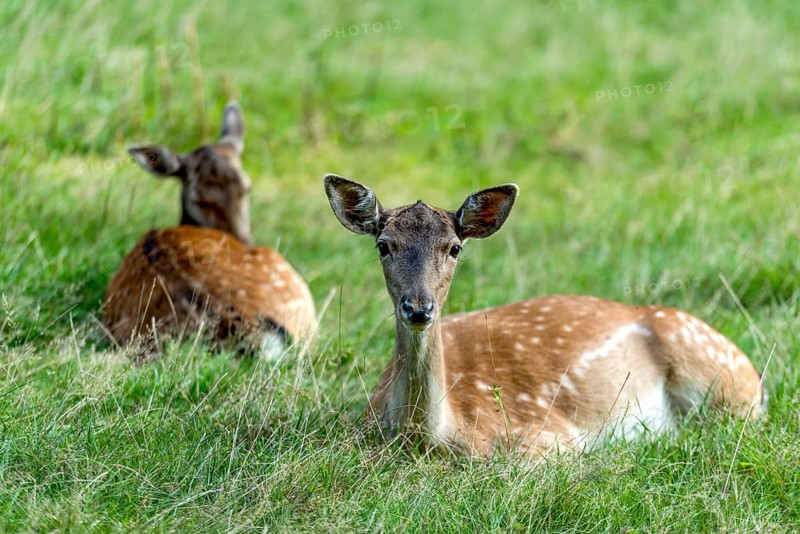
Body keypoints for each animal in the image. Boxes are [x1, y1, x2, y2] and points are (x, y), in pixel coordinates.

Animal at [323, 174, 767, 457]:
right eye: (383, 244)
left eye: (454, 248)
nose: (418, 307)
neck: (431, 436)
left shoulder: (547, 436)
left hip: (725, 385)